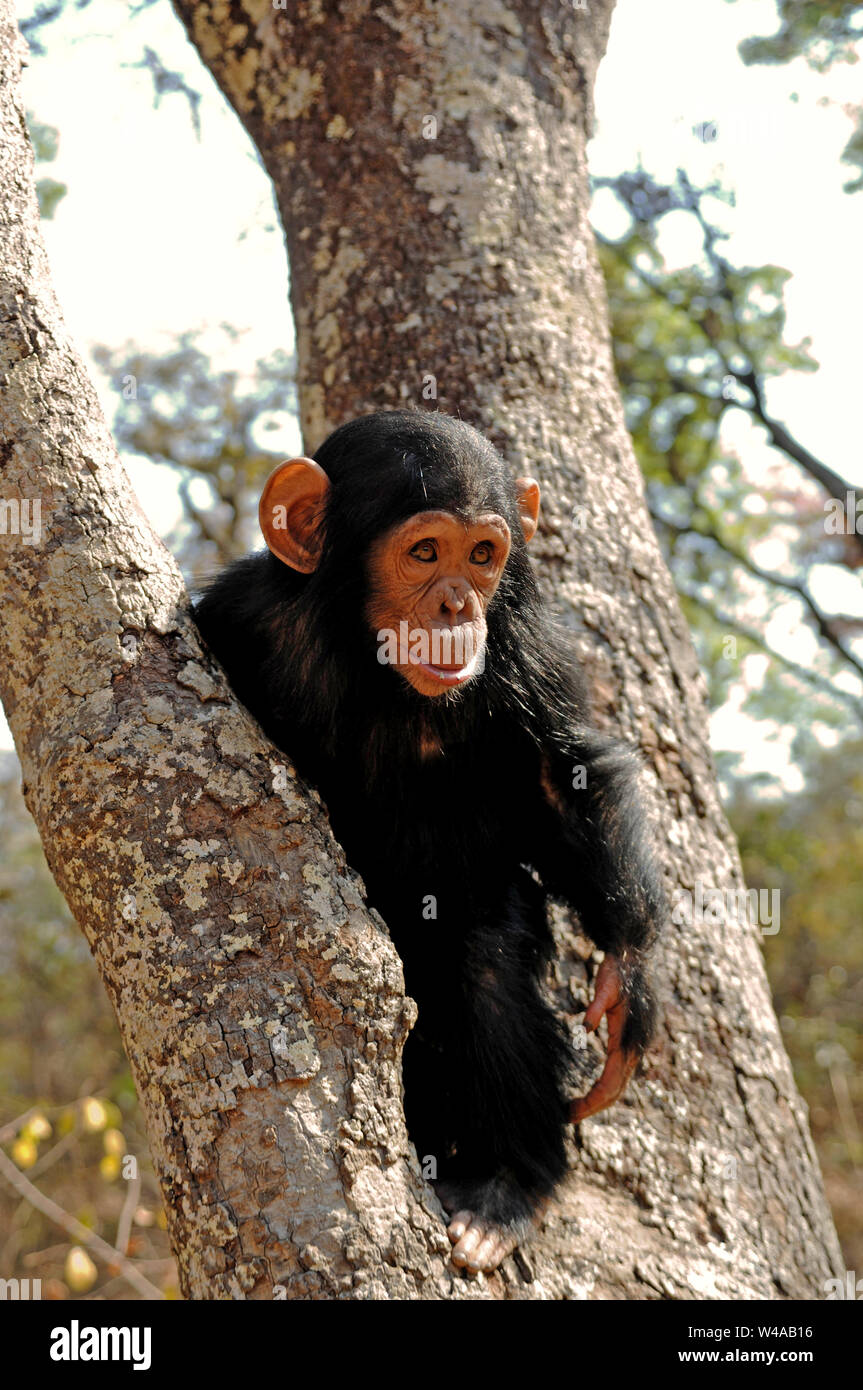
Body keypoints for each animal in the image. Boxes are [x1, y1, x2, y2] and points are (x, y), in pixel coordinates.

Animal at [194, 405, 664, 1273]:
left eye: (481, 556)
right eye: (423, 552)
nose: (455, 605)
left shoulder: (534, 646)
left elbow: (563, 771)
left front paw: (633, 979)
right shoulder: (233, 620)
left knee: (484, 964)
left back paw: (502, 1188)